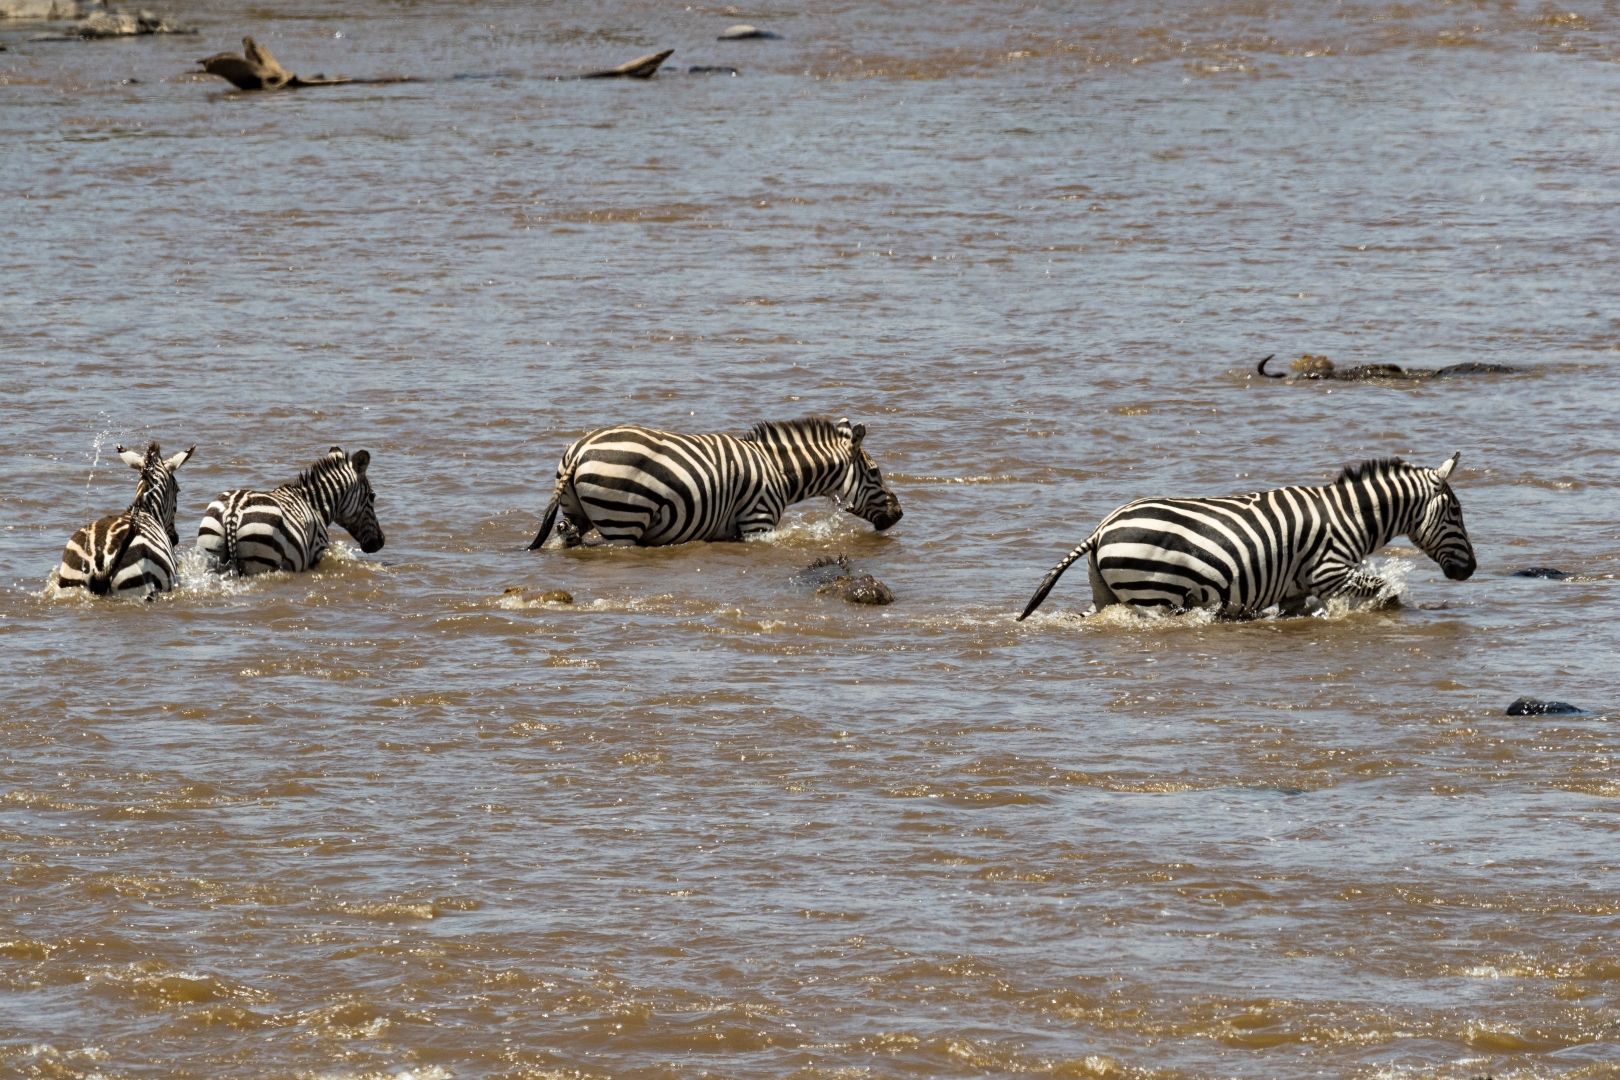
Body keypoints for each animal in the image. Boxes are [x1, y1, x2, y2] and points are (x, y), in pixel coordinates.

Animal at [196, 446, 382, 579]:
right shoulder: (316, 553)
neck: (314, 505)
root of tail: (233, 512)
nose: (380, 543)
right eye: (372, 496)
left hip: (210, 554)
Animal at [531, 417, 907, 550]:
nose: (900, 514)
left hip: (576, 514)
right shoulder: (758, 522)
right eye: (875, 473)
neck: (778, 470)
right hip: (621, 521)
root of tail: (581, 450)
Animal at [1017, 456, 1477, 625]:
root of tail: (1101, 529)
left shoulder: (1296, 590)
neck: (1350, 517)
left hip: (1107, 594)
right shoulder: (1330, 572)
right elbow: (1386, 592)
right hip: (1154, 596)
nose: (1471, 569)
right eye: (1456, 512)